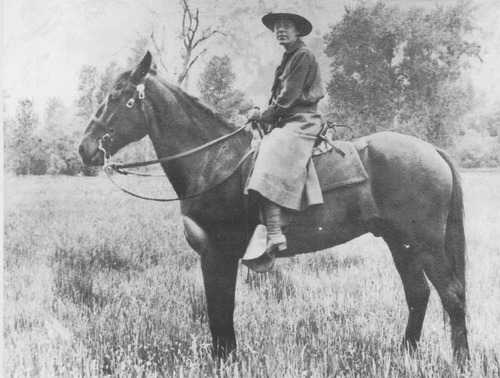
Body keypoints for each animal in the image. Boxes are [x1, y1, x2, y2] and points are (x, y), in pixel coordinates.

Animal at [77, 52, 468, 364]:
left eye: (118, 98)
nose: (85, 149)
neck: (213, 161)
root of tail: (432, 151)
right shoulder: (215, 255)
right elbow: (220, 311)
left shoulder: (217, 253)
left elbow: (220, 309)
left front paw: (224, 361)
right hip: (401, 243)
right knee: (418, 294)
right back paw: (406, 354)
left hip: (426, 244)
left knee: (452, 295)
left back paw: (460, 361)